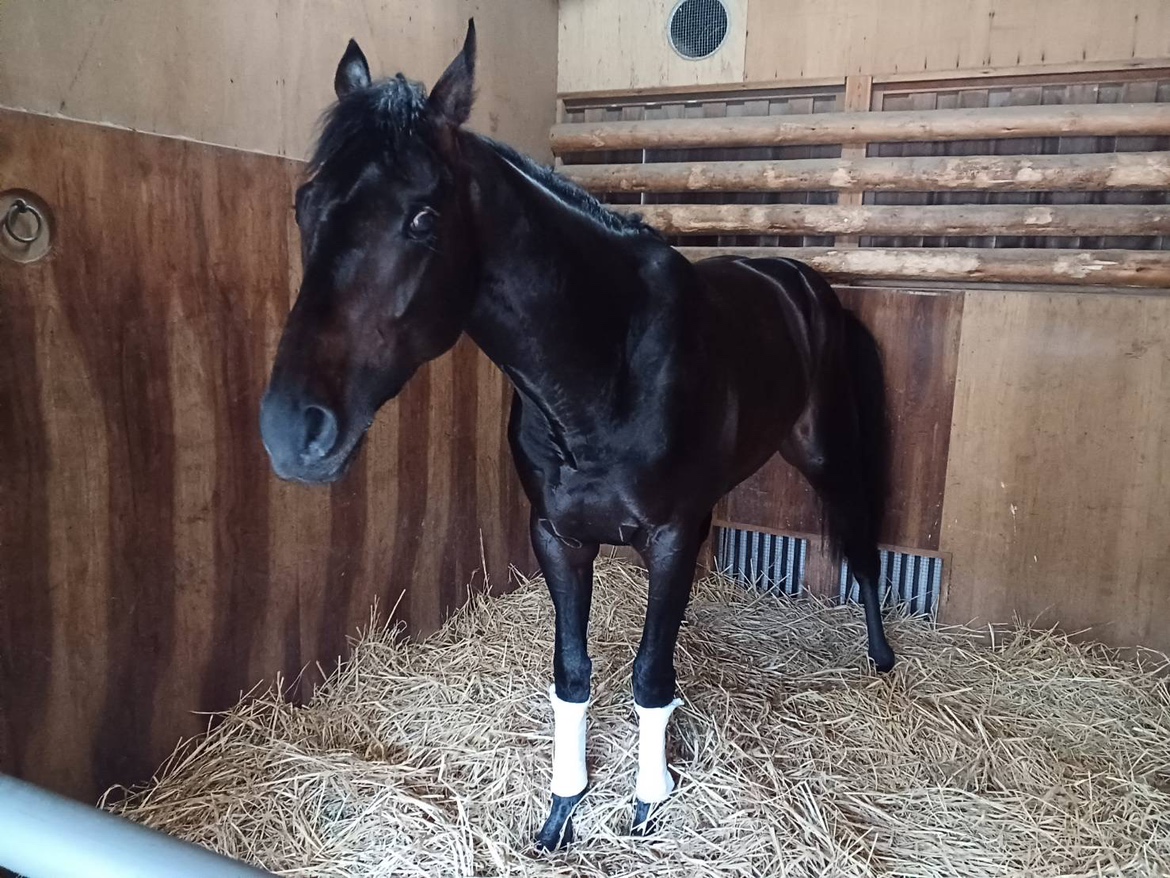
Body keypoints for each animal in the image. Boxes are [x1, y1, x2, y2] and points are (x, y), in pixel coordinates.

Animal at [259, 20, 895, 853]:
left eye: (423, 218)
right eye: (305, 204)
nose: (292, 428)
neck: (603, 369)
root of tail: (801, 282)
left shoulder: (669, 536)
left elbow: (650, 676)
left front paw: (649, 800)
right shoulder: (559, 536)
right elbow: (572, 673)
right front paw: (564, 806)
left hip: (825, 451)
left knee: (860, 536)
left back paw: (882, 656)